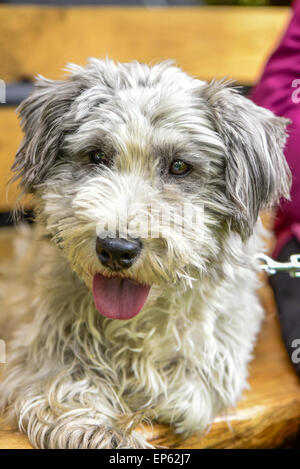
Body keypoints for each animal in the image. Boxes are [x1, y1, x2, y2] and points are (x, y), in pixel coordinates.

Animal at [0, 58, 292, 446]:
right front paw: (100, 430)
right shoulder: (39, 347)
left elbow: (189, 388)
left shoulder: (222, 348)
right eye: (97, 156)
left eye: (179, 166)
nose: (116, 248)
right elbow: (60, 385)